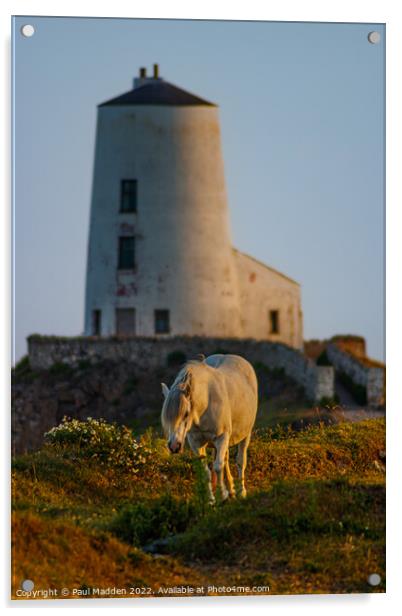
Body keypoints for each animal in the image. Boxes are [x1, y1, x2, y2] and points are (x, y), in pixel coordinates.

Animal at [160, 354, 258, 502]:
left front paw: (223, 495)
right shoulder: (196, 442)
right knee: (225, 460)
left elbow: (218, 467)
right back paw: (231, 490)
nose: (174, 446)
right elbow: (206, 471)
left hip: (245, 434)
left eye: (186, 413)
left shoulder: (222, 437)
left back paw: (241, 491)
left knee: (240, 461)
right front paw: (211, 500)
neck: (206, 404)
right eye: (167, 418)